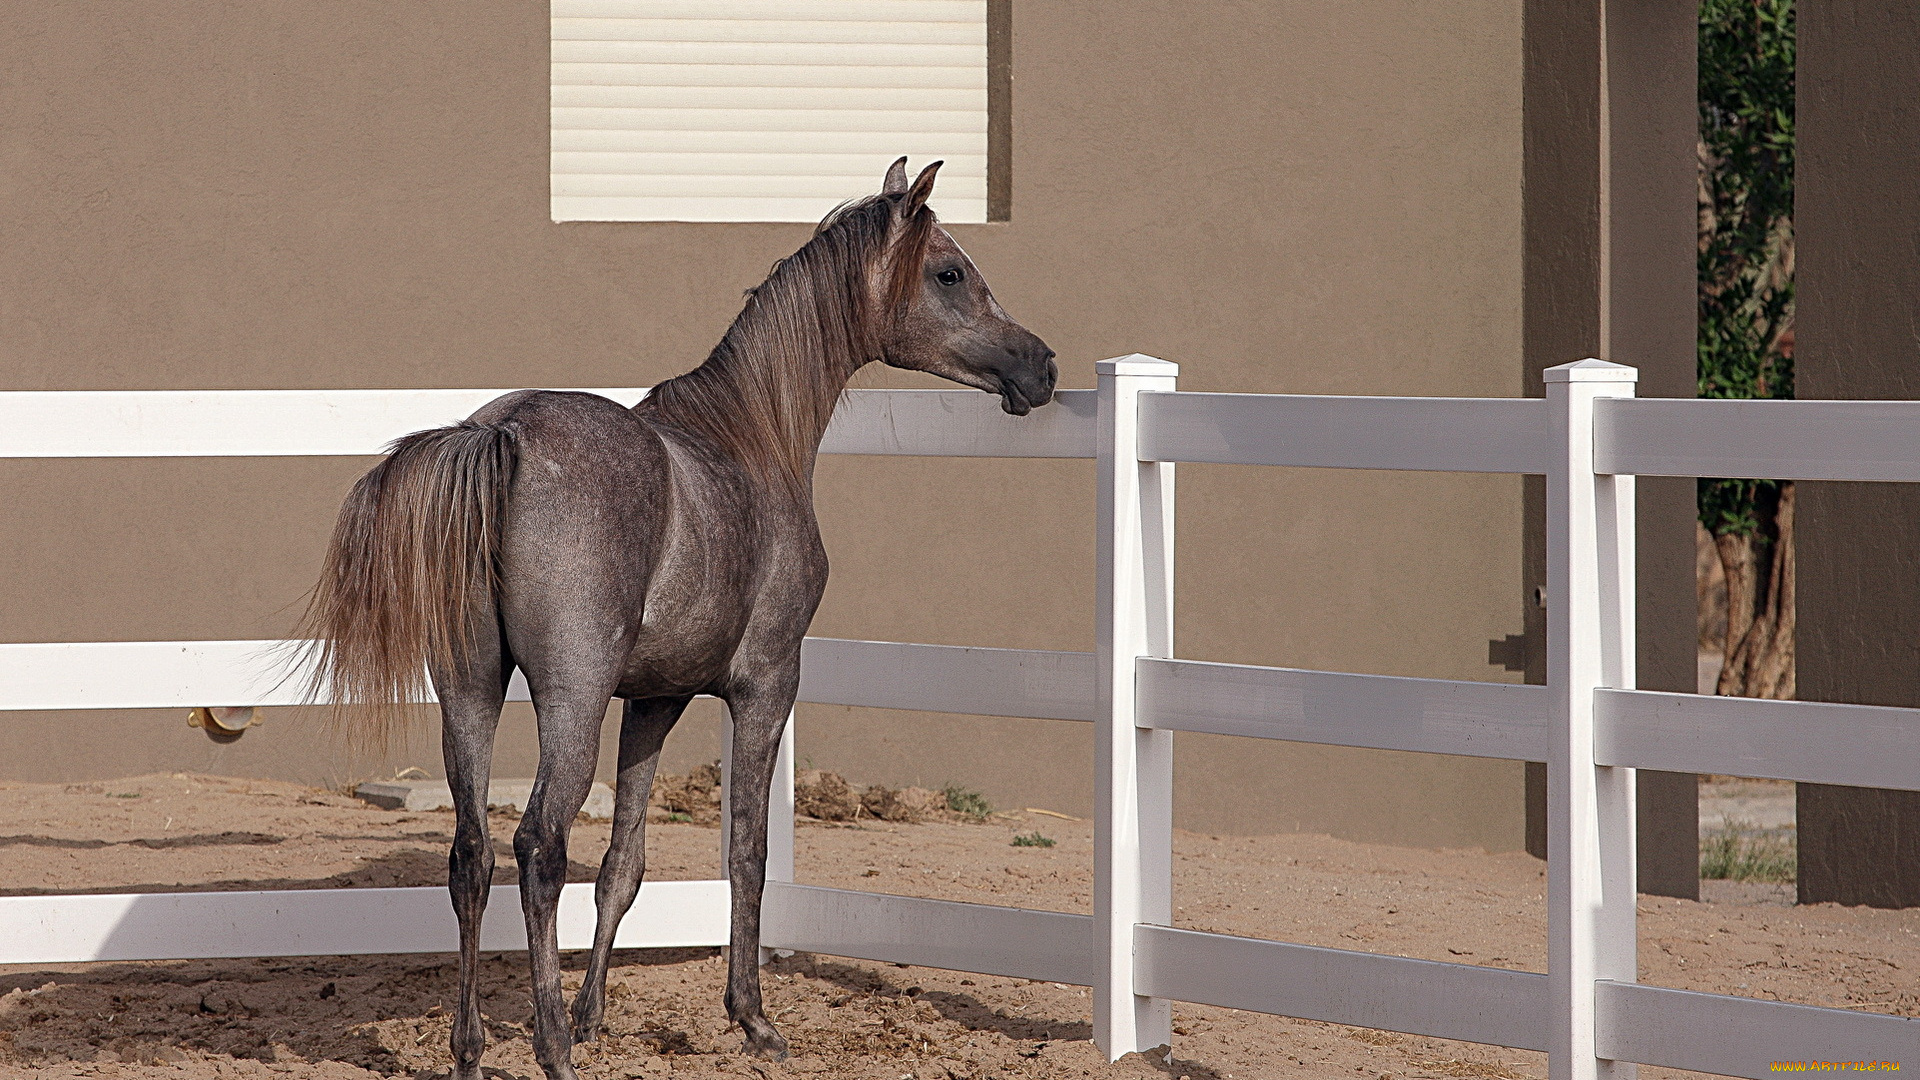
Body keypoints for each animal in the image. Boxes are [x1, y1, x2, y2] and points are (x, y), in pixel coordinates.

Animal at [297, 158, 1056, 1080]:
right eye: (948, 273)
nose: (1042, 365)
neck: (751, 439)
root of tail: (503, 434)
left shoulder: (654, 701)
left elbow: (624, 863)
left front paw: (595, 1014)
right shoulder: (764, 687)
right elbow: (745, 853)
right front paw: (751, 1019)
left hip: (469, 695)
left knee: (472, 855)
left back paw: (473, 1049)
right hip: (572, 702)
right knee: (537, 848)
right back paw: (552, 1050)